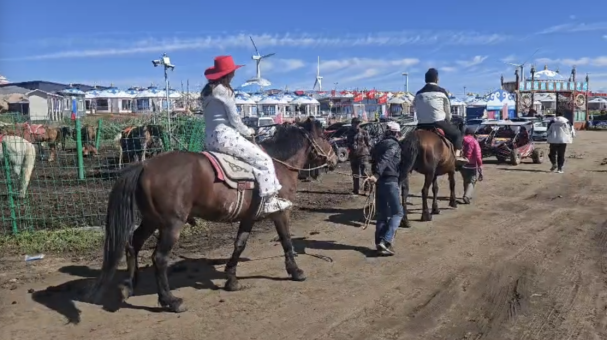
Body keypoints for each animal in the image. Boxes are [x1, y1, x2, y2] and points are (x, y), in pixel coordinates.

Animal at [88, 117, 340, 314]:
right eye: (325, 137)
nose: (336, 159)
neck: (279, 166)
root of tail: (145, 165)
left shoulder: (248, 217)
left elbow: (239, 245)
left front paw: (231, 278)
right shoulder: (281, 211)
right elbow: (286, 240)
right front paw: (295, 271)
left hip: (151, 220)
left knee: (133, 243)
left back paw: (129, 285)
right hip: (171, 225)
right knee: (159, 258)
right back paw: (170, 301)